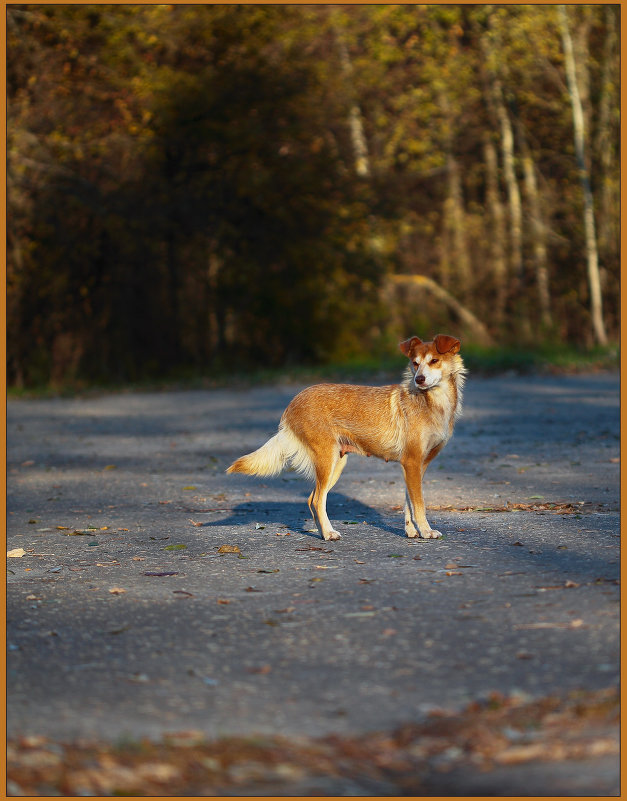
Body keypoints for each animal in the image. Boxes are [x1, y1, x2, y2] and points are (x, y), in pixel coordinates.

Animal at [227, 334, 466, 540]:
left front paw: (411, 531)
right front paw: (426, 531)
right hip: (327, 460)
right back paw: (329, 534)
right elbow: (419, 505)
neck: (431, 402)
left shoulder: (417, 466)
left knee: (312, 500)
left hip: (337, 463)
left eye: (434, 360)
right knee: (317, 500)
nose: (419, 379)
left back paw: (323, 532)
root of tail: (293, 403)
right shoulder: (412, 463)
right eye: (415, 363)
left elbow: (409, 504)